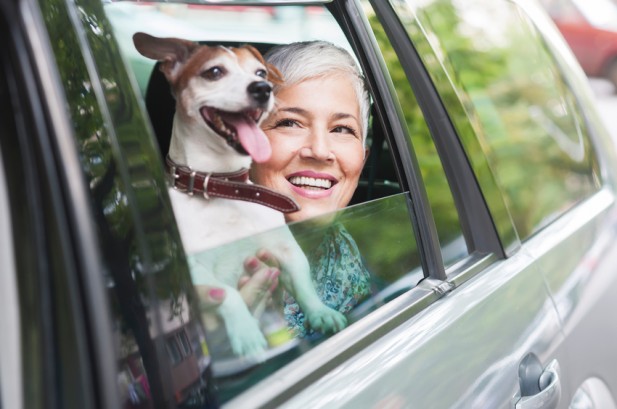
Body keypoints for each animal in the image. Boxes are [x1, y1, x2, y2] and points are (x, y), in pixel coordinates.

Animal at [134, 32, 346, 356]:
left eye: (260, 73)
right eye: (214, 72)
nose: (263, 88)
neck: (223, 188)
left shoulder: (285, 250)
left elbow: (303, 279)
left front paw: (321, 312)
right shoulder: (194, 269)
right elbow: (228, 294)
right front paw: (245, 332)